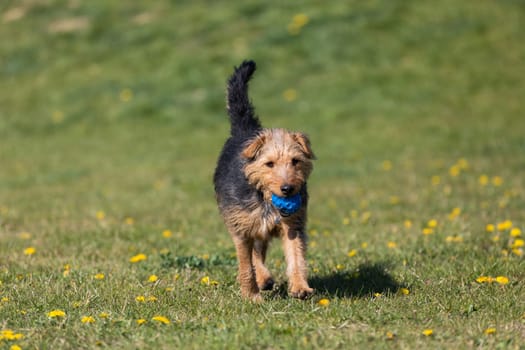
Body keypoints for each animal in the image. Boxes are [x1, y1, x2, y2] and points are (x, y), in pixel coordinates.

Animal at [214, 60, 316, 300]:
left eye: (295, 161)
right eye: (269, 164)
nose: (288, 189)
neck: (265, 198)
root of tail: (246, 130)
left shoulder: (292, 224)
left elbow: (296, 256)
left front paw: (300, 287)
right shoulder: (241, 227)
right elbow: (246, 264)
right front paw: (251, 296)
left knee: (259, 251)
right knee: (254, 255)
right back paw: (262, 280)